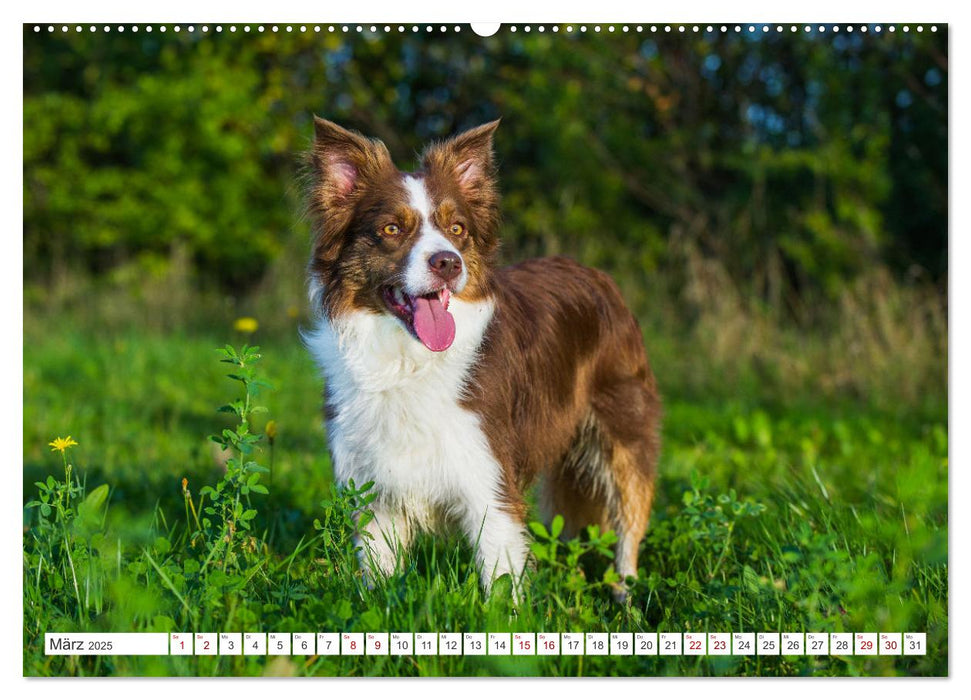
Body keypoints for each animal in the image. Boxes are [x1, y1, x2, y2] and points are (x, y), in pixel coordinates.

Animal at [308, 117, 664, 600]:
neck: (408, 360)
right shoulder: (374, 491)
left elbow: (502, 579)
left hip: (623, 431)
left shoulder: (488, 478)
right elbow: (378, 578)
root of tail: (597, 274)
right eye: (392, 229)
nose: (448, 263)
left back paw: (625, 593)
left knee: (629, 517)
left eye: (457, 229)